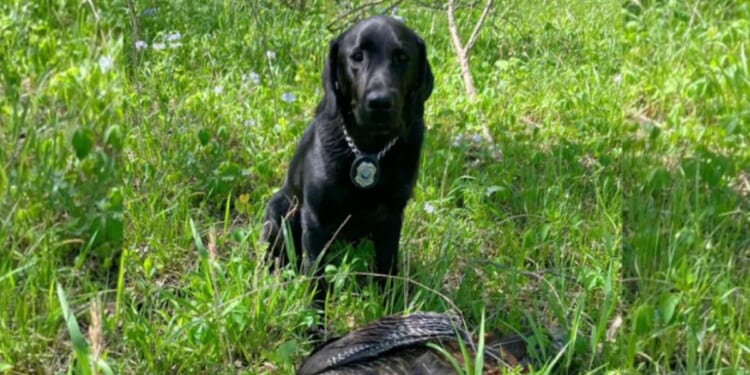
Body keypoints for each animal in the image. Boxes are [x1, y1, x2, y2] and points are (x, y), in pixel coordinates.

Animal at [262, 15, 434, 302]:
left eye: (402, 56)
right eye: (357, 56)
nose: (379, 102)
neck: (368, 150)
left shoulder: (391, 218)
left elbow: (387, 270)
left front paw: (389, 308)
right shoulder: (316, 221)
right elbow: (316, 278)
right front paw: (314, 315)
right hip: (279, 210)